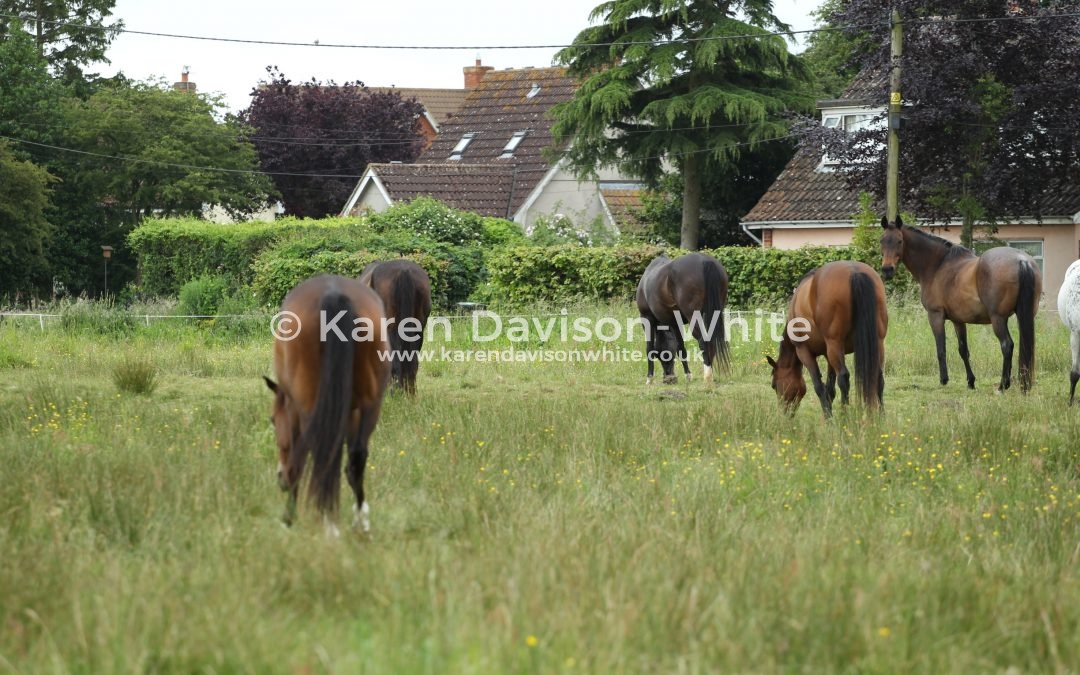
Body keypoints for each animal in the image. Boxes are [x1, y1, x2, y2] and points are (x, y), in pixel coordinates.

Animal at [263, 274, 391, 535]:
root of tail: (334, 294)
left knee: (312, 456)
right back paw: (359, 522)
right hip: (370, 406)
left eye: (272, 420)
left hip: (308, 407)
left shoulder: (295, 410)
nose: (279, 478)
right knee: (355, 458)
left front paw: (289, 518)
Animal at [636, 252, 730, 385]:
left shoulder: (646, 318)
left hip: (693, 316)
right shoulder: (675, 323)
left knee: (703, 341)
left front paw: (649, 379)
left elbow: (650, 348)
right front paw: (688, 376)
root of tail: (704, 260)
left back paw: (707, 376)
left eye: (662, 355)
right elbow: (680, 348)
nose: (669, 378)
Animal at [767, 260, 888, 417]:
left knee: (843, 377)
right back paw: (881, 416)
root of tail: (855, 271)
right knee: (878, 378)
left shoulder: (804, 352)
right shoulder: (829, 354)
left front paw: (828, 416)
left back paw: (844, 415)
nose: (785, 414)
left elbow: (819, 386)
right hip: (877, 343)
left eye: (774, 385)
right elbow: (830, 388)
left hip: (835, 344)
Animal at [880, 215, 1041, 392]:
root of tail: (1021, 261)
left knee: (1007, 345)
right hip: (1025, 316)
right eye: (882, 240)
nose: (887, 270)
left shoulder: (935, 315)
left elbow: (941, 349)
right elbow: (963, 350)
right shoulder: (958, 320)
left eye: (899, 241)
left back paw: (1002, 385)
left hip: (998, 318)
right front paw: (971, 381)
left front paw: (944, 379)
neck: (938, 266)